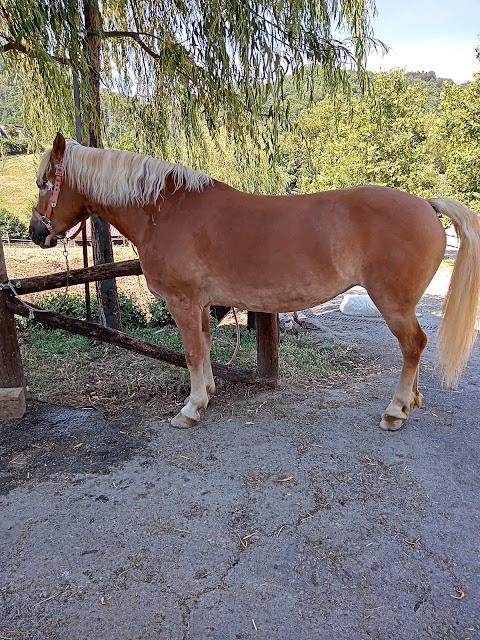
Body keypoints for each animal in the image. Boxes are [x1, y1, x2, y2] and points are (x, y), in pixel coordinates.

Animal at [29, 131, 480, 430]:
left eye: (44, 184)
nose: (36, 233)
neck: (165, 211)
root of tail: (426, 205)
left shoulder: (182, 302)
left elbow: (191, 353)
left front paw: (189, 410)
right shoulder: (201, 304)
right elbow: (205, 350)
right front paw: (206, 396)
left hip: (393, 303)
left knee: (413, 345)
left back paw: (395, 410)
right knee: (415, 347)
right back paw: (412, 402)